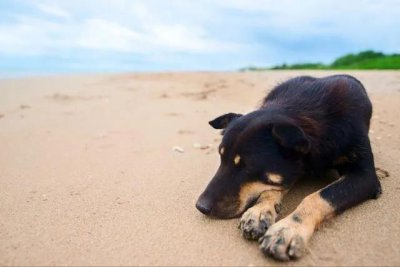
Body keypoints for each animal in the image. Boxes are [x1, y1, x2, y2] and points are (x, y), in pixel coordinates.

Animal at [196, 75, 382, 262]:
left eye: (247, 166)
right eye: (221, 157)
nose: (200, 206)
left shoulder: (365, 176)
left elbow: (318, 197)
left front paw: (287, 230)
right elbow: (275, 185)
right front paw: (259, 210)